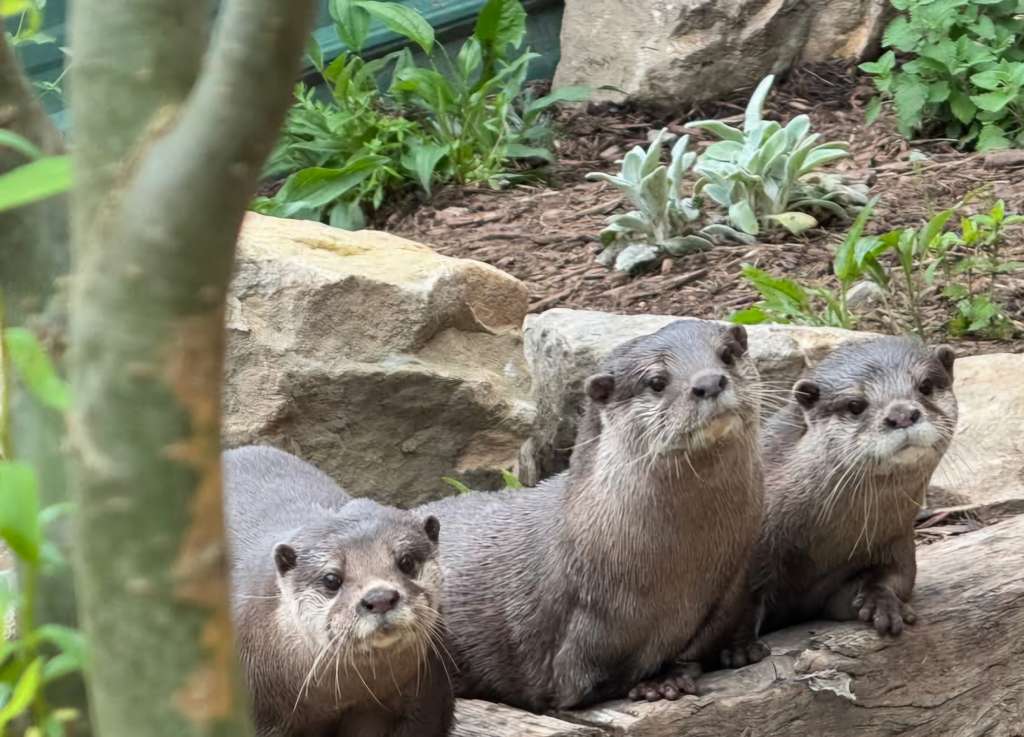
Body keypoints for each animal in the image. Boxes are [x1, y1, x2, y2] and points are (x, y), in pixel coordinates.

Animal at [418, 319, 765, 710]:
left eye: (727, 355)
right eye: (657, 381)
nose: (709, 382)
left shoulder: (731, 583)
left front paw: (740, 649)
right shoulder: (582, 633)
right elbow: (584, 686)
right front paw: (658, 682)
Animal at [722, 336, 958, 667]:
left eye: (925, 386)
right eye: (856, 405)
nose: (901, 414)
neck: (820, 545)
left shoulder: (894, 541)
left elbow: (894, 578)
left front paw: (881, 602)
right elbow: (739, 604)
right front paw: (739, 647)